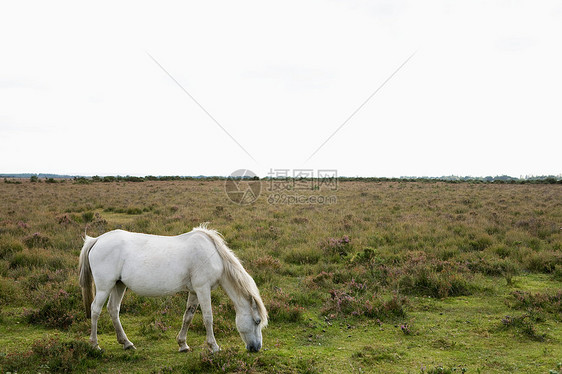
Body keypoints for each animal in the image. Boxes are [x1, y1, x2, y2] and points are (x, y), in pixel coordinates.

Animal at [78, 225, 266, 354]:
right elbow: (208, 318)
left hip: (119, 285)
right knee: (95, 310)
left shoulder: (194, 292)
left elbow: (188, 316)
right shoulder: (203, 289)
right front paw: (214, 346)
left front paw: (183, 344)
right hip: (105, 287)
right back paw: (95, 345)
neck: (213, 254)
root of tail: (97, 240)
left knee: (113, 309)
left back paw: (126, 343)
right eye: (257, 321)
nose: (256, 348)